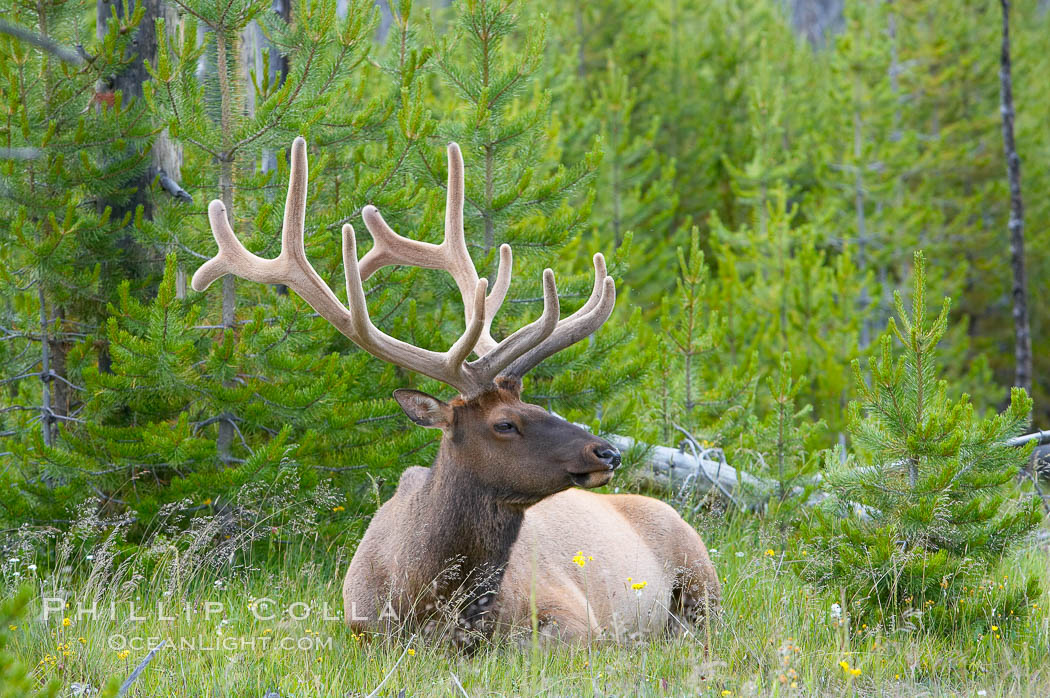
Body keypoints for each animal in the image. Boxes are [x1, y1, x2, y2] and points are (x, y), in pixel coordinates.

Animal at [191, 138, 722, 646]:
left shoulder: (576, 615)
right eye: (505, 422)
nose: (607, 452)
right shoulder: (362, 629)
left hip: (703, 573)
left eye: (536, 403)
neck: (426, 597)